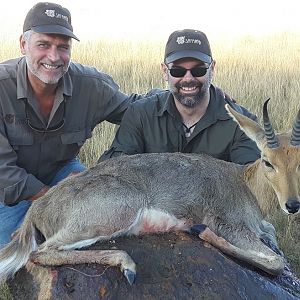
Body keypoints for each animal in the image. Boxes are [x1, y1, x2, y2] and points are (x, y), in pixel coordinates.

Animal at [0, 101, 298, 286]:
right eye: (267, 161)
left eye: (299, 160)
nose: (292, 205)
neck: (245, 183)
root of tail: (37, 208)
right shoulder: (228, 224)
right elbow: (276, 262)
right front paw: (200, 231)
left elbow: (273, 239)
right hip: (114, 215)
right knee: (40, 253)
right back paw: (128, 266)